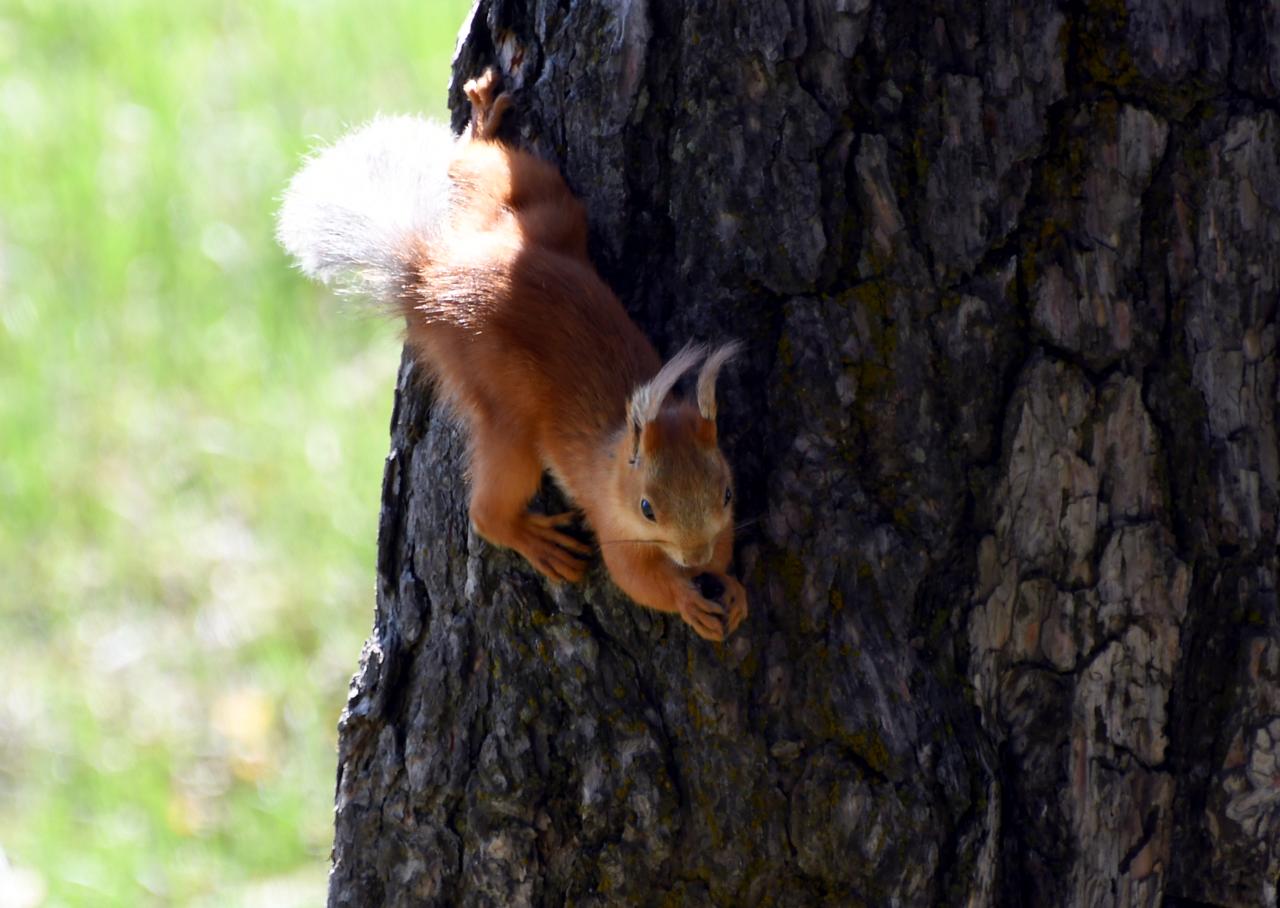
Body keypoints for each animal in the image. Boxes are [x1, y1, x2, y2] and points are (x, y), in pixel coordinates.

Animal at [277, 69, 746, 641]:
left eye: (727, 493)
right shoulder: (613, 524)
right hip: (504, 408)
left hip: (540, 212)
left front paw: (729, 585)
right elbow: (637, 579)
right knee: (486, 510)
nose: (694, 558)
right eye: (646, 509)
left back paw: (481, 126)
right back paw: (534, 540)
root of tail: (435, 279)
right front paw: (686, 598)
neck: (618, 455)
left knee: (485, 170)